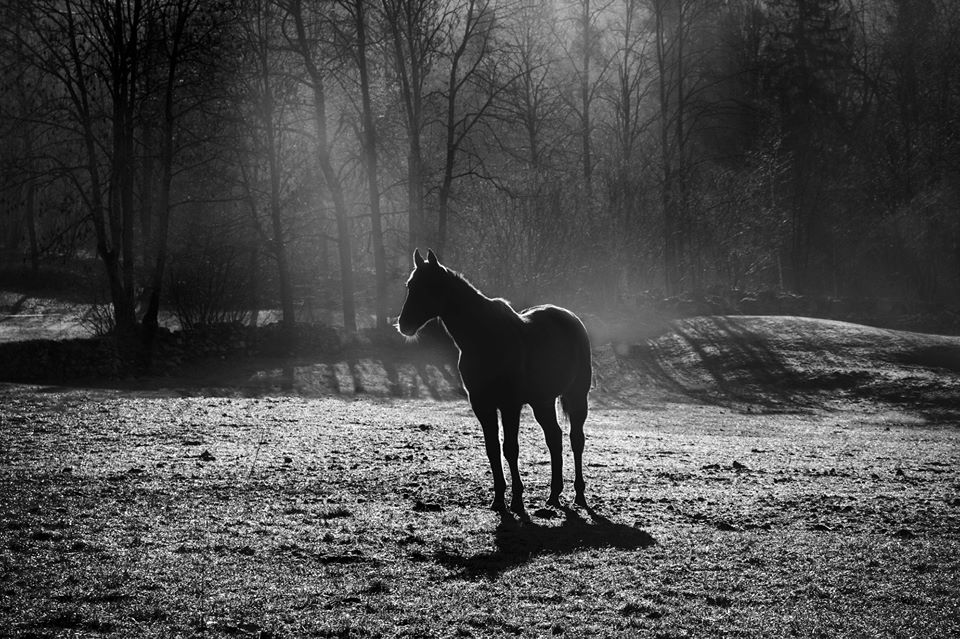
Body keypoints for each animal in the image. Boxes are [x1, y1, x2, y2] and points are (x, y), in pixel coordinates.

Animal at [392, 248, 588, 512]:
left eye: (430, 286)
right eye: (410, 285)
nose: (404, 324)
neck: (485, 337)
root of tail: (570, 318)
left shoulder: (509, 405)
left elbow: (510, 449)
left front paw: (516, 501)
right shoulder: (481, 404)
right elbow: (492, 449)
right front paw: (498, 499)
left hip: (576, 396)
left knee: (576, 440)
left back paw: (579, 495)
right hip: (542, 401)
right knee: (554, 438)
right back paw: (553, 495)